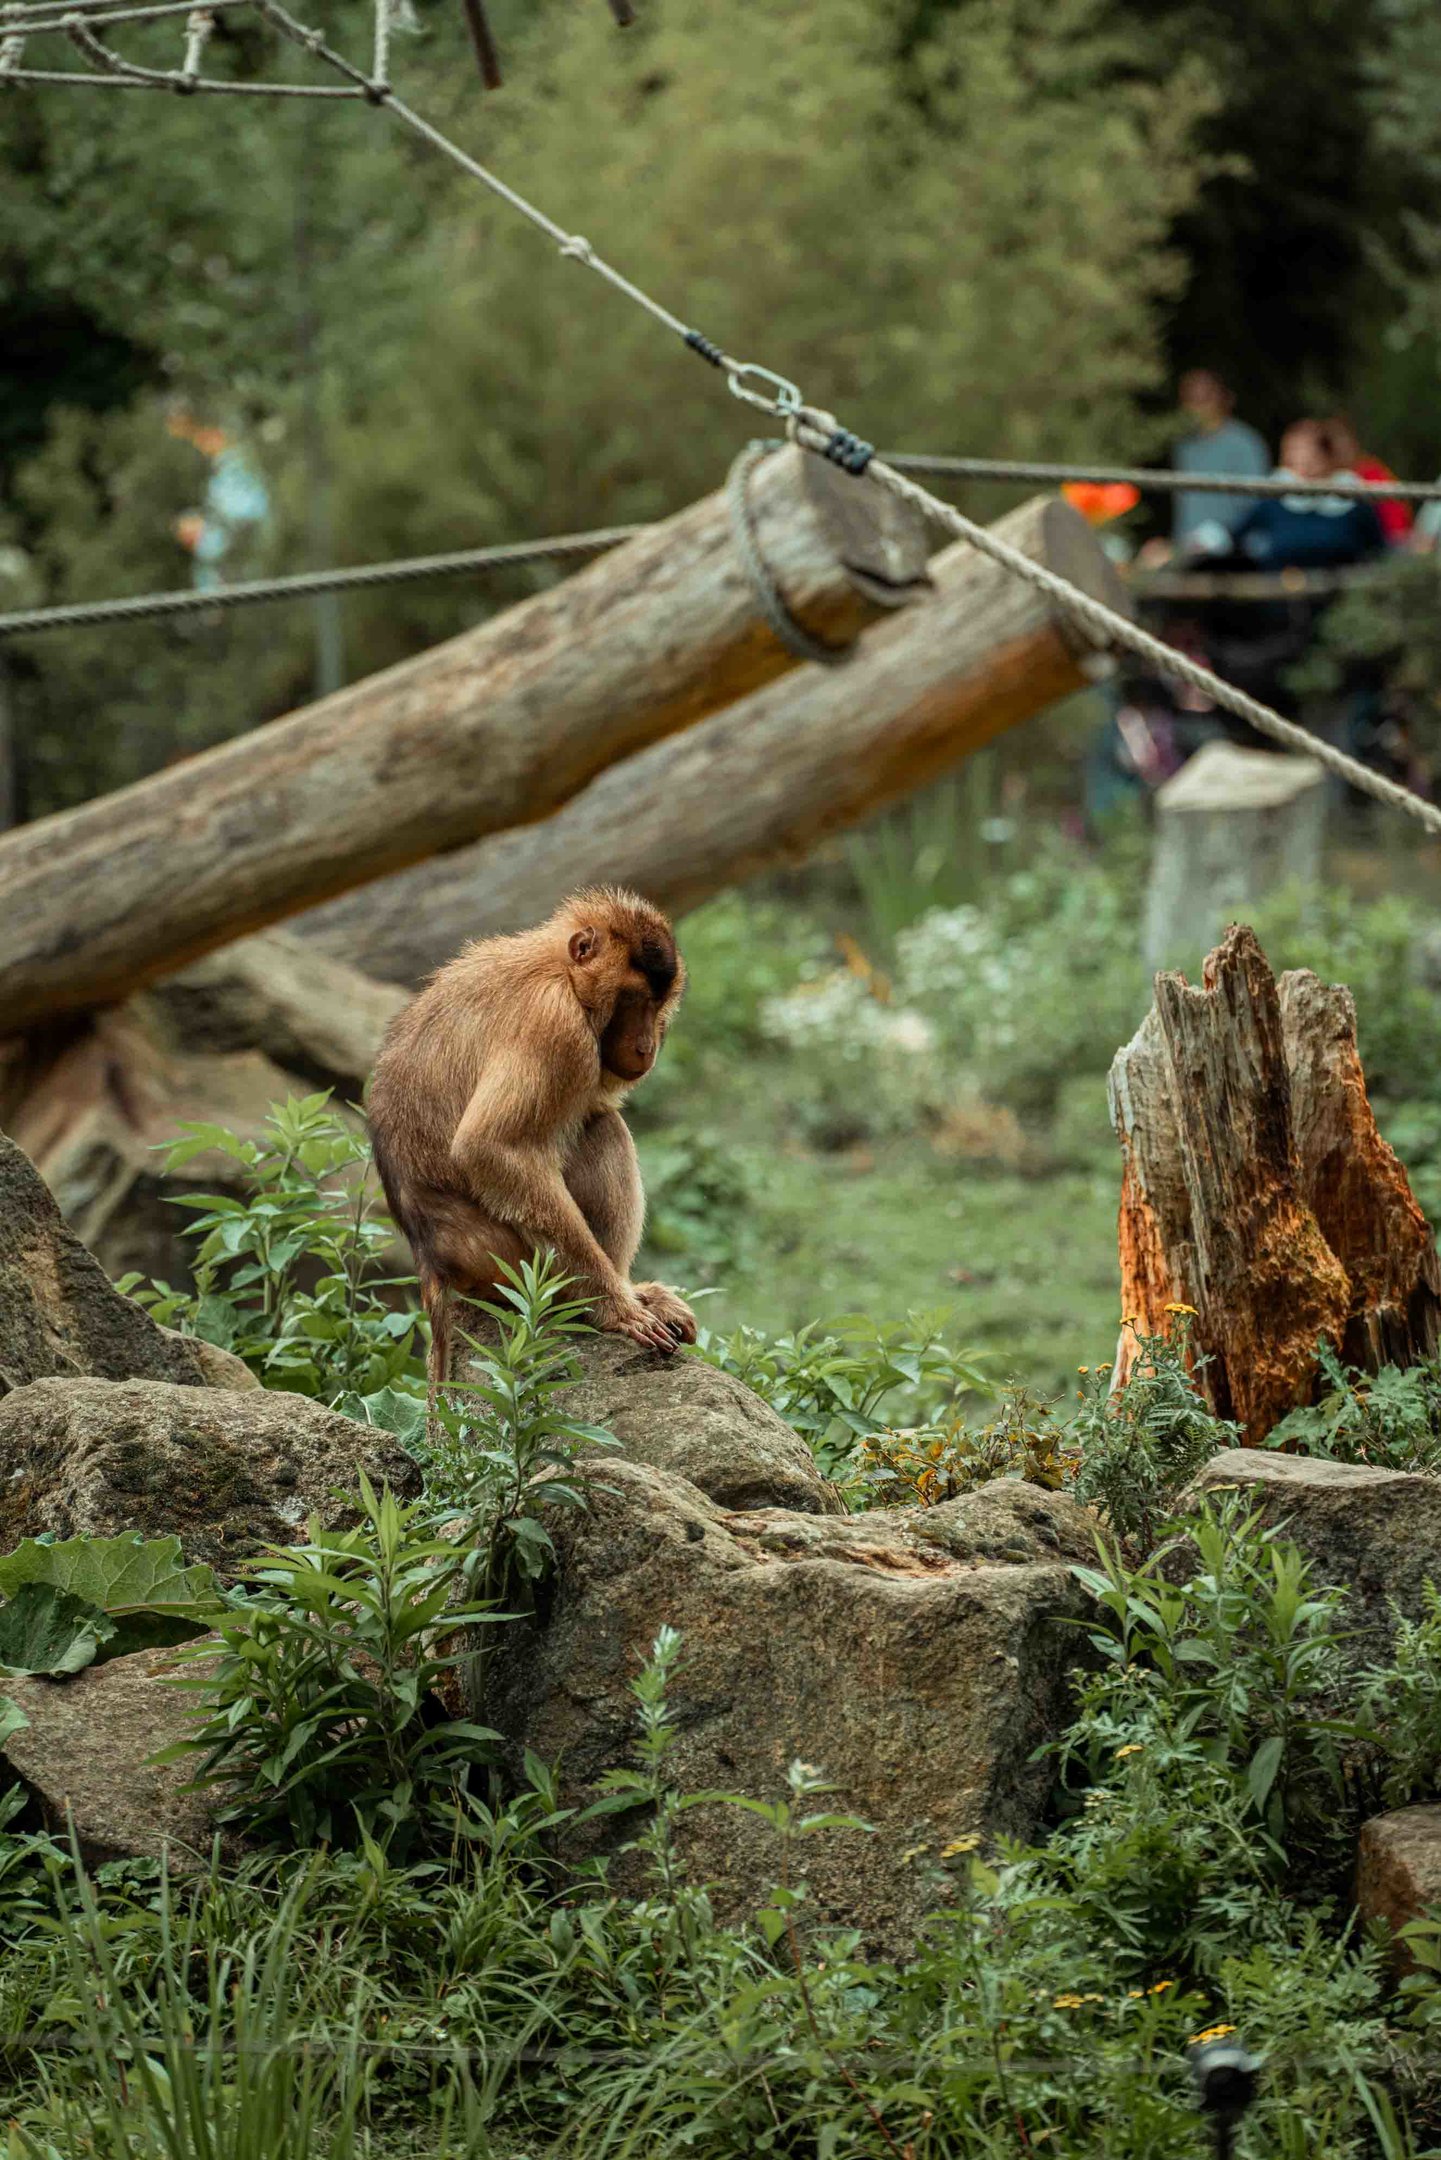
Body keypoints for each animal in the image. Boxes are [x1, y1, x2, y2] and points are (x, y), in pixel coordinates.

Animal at [367, 887, 697, 1420]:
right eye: (633, 1000)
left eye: (657, 1004)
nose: (647, 1046)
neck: (560, 969)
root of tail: (432, 1262)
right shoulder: (555, 1026)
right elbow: (491, 1148)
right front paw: (616, 1308)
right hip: (511, 1266)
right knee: (600, 1130)